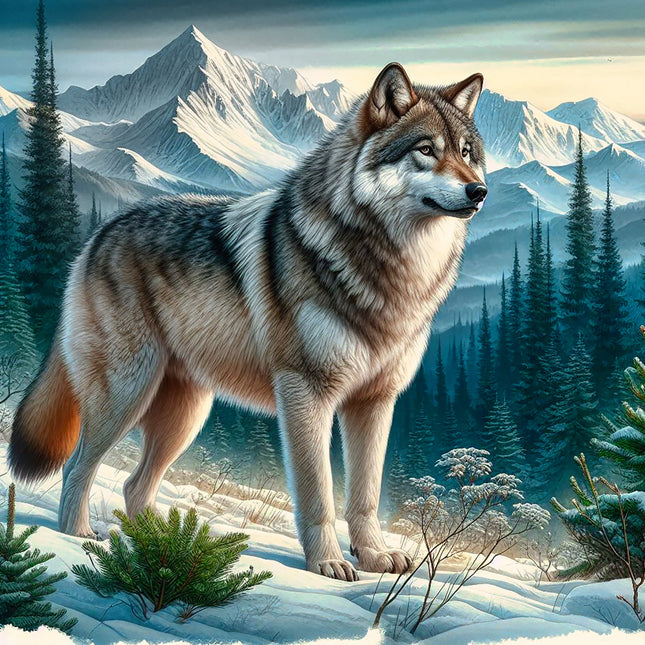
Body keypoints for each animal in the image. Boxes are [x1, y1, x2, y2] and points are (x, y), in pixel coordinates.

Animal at [9, 63, 486, 581]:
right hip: (127, 395)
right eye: (426, 151)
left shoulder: (375, 403)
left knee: (135, 486)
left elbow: (365, 496)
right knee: (77, 466)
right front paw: (328, 563)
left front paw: (376, 557)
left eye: (466, 153)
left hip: (186, 416)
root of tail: (99, 234)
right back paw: (79, 536)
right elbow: (318, 494)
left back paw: (159, 548)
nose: (479, 191)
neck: (393, 273)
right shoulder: (306, 394)